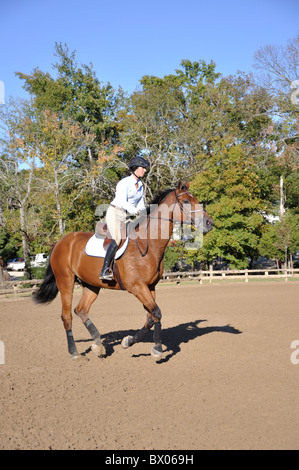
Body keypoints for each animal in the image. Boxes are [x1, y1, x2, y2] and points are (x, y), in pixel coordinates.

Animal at [34, 180, 214, 360]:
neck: (148, 243)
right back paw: (75, 353)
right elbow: (156, 312)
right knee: (67, 316)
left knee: (81, 310)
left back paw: (98, 344)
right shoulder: (137, 287)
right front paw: (157, 349)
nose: (209, 223)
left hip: (91, 285)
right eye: (186, 201)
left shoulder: (150, 287)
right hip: (65, 281)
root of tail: (60, 242)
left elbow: (150, 317)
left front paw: (129, 341)